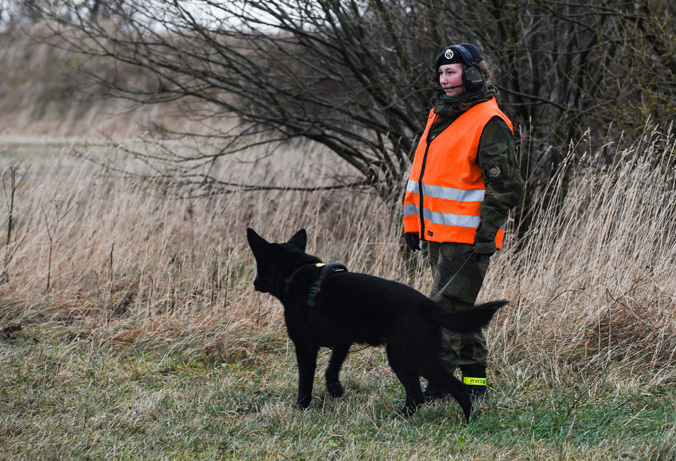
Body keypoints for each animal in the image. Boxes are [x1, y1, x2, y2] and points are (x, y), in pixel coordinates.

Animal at [246, 227, 504, 420]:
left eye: (259, 265)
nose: (254, 283)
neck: (297, 271)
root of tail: (426, 304)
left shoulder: (305, 346)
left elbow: (305, 381)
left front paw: (301, 407)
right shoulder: (342, 341)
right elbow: (332, 367)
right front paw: (335, 388)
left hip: (417, 356)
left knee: (456, 388)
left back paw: (467, 420)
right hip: (399, 358)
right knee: (416, 396)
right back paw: (399, 418)